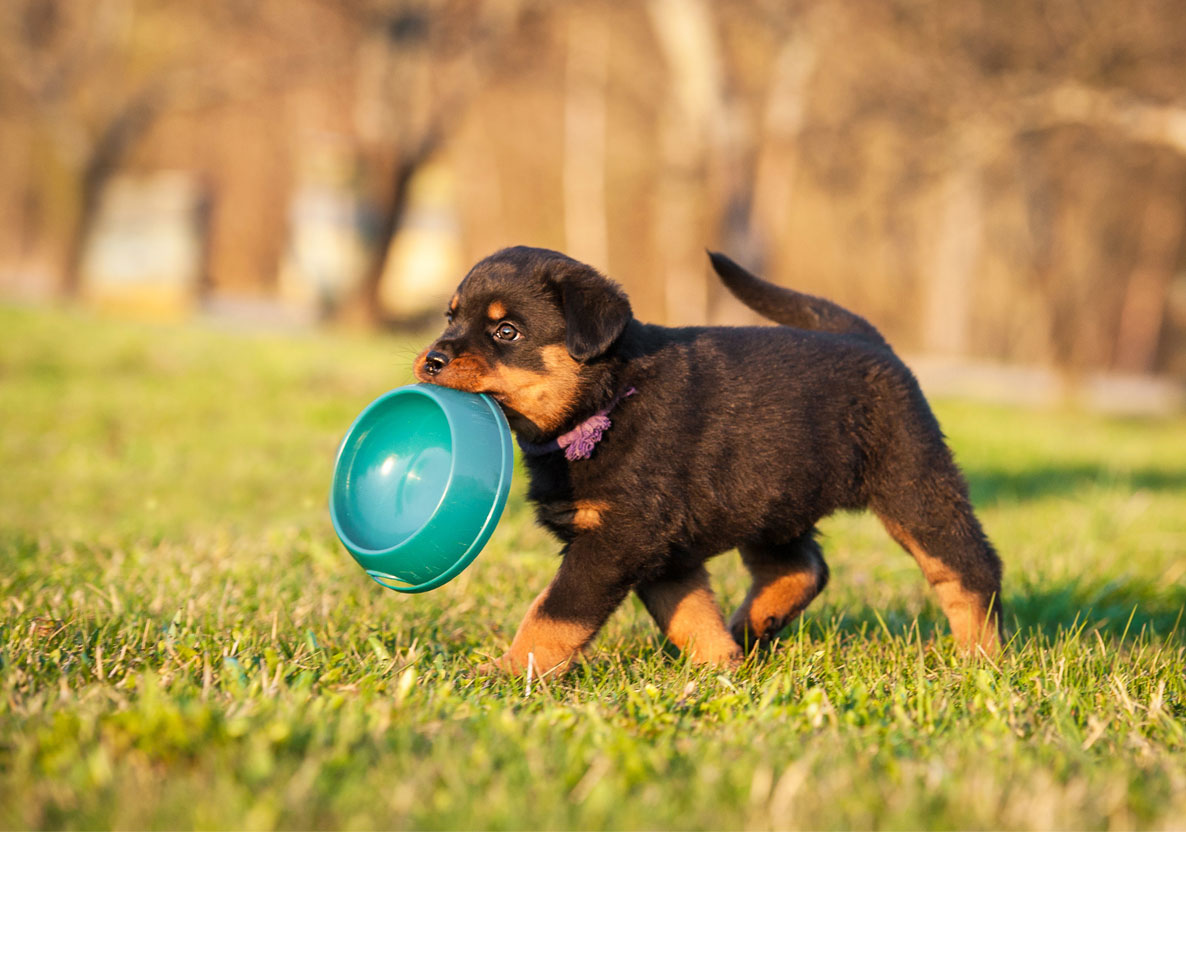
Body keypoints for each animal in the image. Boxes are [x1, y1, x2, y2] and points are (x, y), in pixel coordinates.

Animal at [412, 245, 1005, 678]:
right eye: (450, 317)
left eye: (505, 332)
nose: (432, 359)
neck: (608, 399)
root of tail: (870, 339)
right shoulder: (661, 549)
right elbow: (690, 613)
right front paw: (720, 667)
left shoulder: (619, 537)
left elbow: (553, 611)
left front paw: (507, 671)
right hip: (773, 497)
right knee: (802, 567)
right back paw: (751, 626)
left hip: (913, 483)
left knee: (969, 568)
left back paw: (982, 657)